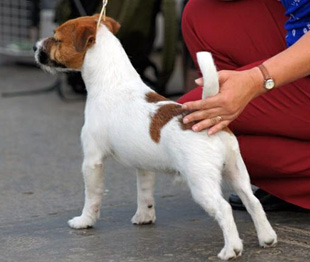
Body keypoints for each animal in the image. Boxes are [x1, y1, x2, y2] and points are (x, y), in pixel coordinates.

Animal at [34, 14, 276, 260]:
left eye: (56, 38)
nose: (35, 47)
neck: (112, 80)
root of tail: (211, 120)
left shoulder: (92, 161)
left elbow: (92, 196)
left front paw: (84, 221)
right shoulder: (144, 166)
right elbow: (144, 194)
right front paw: (144, 217)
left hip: (201, 182)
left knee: (224, 209)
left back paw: (231, 249)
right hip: (236, 172)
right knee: (253, 201)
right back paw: (266, 237)